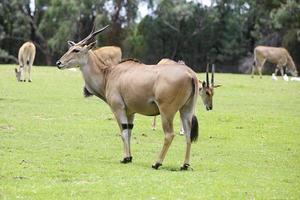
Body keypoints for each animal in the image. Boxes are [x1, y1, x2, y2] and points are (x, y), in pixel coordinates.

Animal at [57, 25, 200, 170]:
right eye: (69, 49)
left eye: (76, 50)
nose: (59, 63)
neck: (108, 74)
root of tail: (190, 74)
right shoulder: (131, 112)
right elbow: (130, 130)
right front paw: (130, 157)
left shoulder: (118, 108)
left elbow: (124, 131)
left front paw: (125, 158)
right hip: (186, 110)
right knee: (188, 134)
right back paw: (185, 165)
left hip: (167, 111)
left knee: (169, 134)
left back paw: (157, 163)